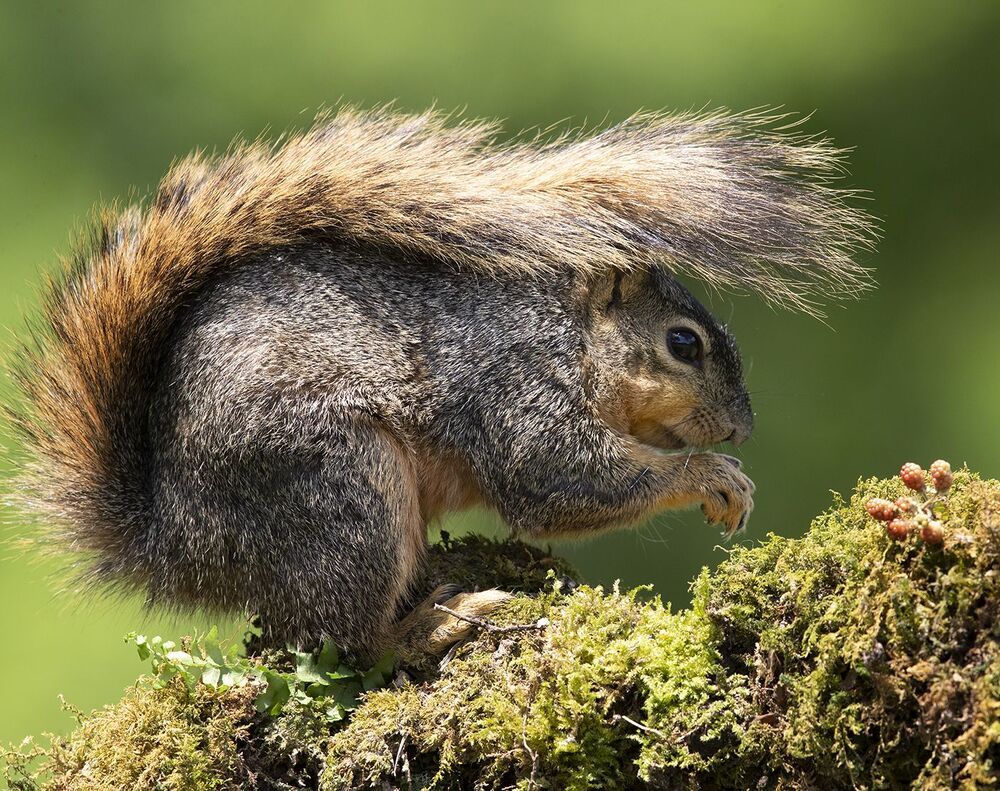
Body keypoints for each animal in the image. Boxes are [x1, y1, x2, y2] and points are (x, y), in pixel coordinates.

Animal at [8, 107, 875, 661]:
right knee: (343, 641)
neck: (569, 336)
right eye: (683, 342)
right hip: (338, 490)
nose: (740, 428)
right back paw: (430, 626)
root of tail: (176, 542)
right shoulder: (514, 388)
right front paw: (711, 476)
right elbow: (561, 481)